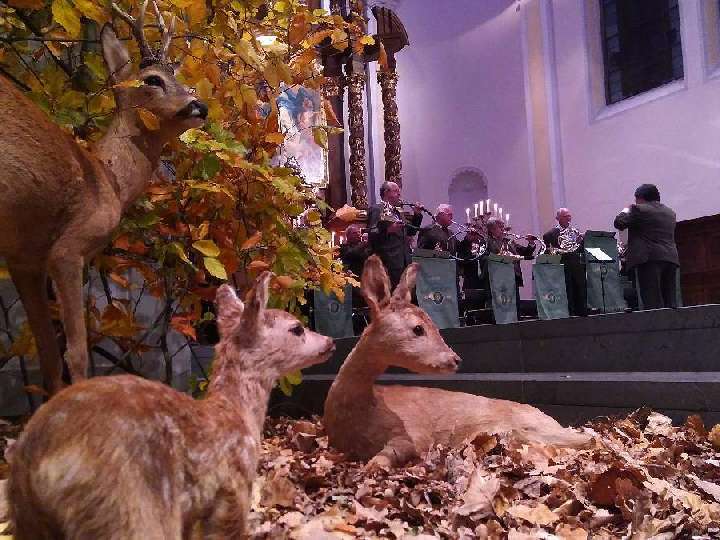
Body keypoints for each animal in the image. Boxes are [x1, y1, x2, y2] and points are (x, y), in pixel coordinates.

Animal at [0, 1, 208, 396]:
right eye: (152, 79)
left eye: (177, 74)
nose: (199, 105)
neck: (107, 180)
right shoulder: (67, 248)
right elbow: (76, 354)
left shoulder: (25, 259)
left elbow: (49, 358)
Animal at [7, 274, 336, 540]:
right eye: (297, 328)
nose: (330, 341)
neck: (236, 414)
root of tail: (33, 462)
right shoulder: (234, 489)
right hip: (128, 508)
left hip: (30, 521)